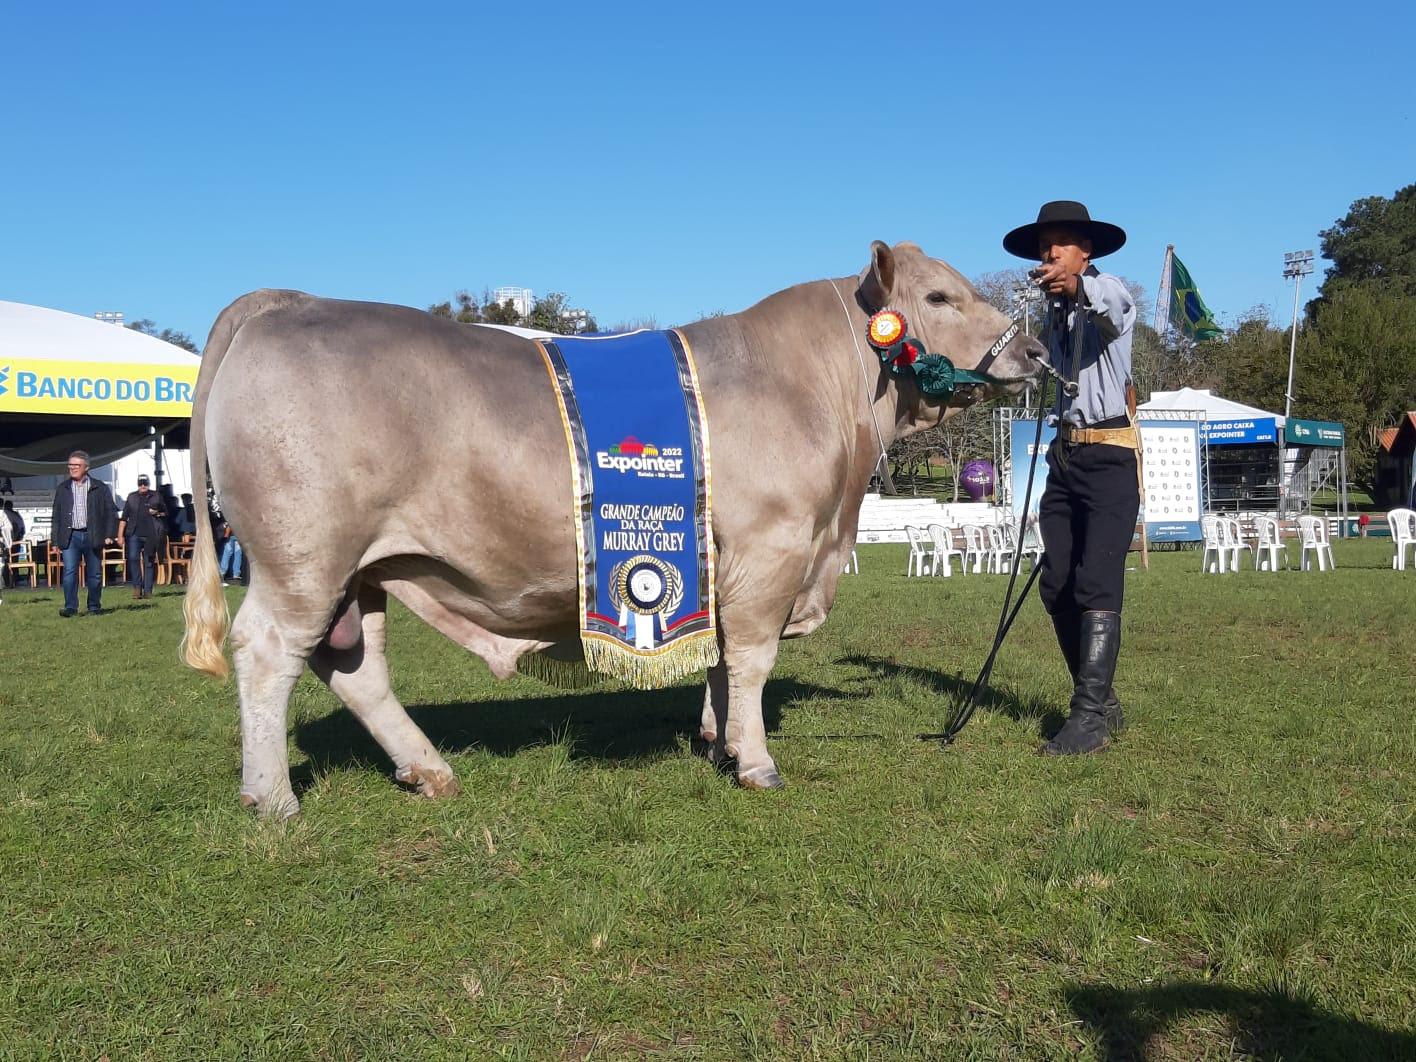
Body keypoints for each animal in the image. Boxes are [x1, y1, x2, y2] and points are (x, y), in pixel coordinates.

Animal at [182, 243, 1042, 821]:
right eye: (939, 296)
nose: (1034, 349)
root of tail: (285, 299)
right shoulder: (771, 547)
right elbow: (753, 659)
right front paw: (757, 763)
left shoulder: (720, 565)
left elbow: (719, 659)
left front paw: (719, 741)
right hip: (303, 557)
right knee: (268, 652)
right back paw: (273, 798)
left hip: (359, 573)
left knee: (354, 668)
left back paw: (429, 770)